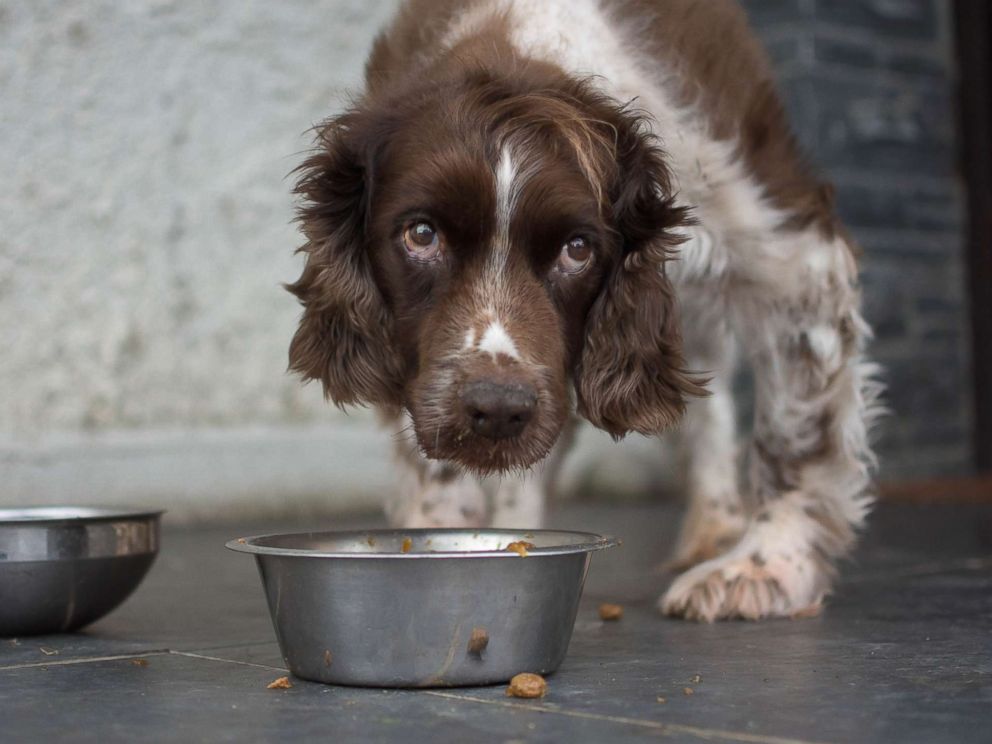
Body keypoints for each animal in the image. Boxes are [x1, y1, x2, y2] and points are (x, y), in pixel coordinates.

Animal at [286, 0, 884, 620]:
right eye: (421, 235)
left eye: (578, 249)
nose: (498, 409)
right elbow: (441, 456)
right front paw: (441, 534)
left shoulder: (790, 249)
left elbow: (797, 435)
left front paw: (766, 565)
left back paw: (718, 529)